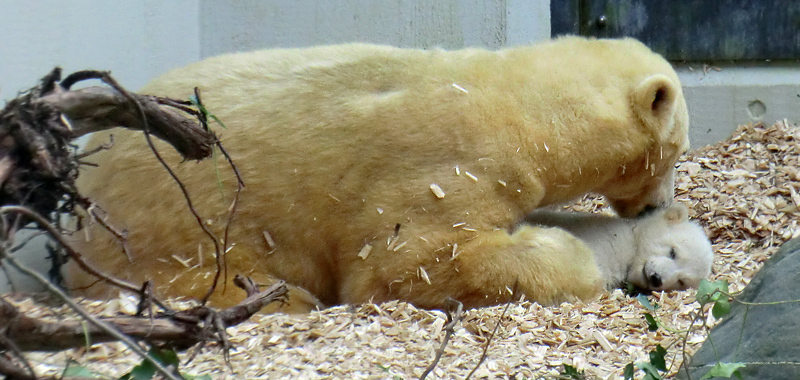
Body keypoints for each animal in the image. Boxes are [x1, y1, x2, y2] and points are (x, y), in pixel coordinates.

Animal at [69, 37, 692, 314]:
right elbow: (408, 265)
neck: (517, 111)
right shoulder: (444, 169)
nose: (656, 206)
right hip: (170, 234)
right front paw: (567, 256)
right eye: (676, 151)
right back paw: (282, 298)